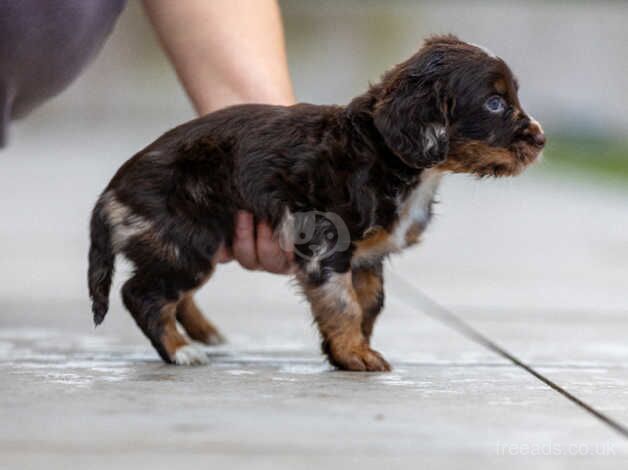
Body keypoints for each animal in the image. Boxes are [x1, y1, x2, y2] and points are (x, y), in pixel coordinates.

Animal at [88, 35, 544, 370]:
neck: (385, 152)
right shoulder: (326, 244)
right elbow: (343, 304)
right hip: (187, 242)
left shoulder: (367, 257)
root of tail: (113, 190)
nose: (541, 139)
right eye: (495, 103)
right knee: (141, 294)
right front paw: (355, 354)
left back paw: (202, 333)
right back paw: (180, 350)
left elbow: (370, 303)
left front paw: (348, 350)